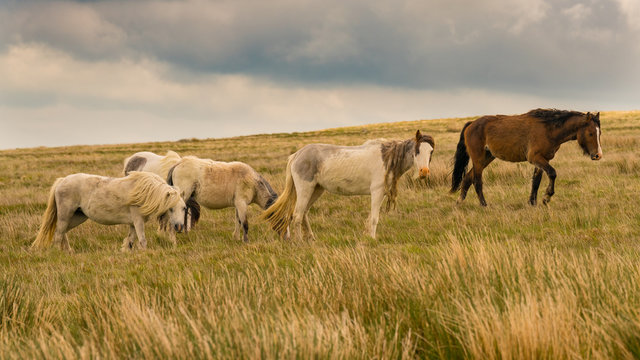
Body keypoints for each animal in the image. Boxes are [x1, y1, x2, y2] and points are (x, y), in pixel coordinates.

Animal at [31, 172, 186, 252]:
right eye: (171, 208)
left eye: (184, 208)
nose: (179, 227)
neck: (146, 192)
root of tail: (62, 180)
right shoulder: (138, 221)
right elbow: (142, 240)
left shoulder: (133, 223)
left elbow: (130, 240)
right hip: (65, 215)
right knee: (58, 234)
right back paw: (59, 252)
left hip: (77, 217)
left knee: (62, 232)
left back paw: (69, 251)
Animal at [260, 131, 436, 240]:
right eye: (417, 150)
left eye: (431, 151)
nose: (424, 172)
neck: (387, 158)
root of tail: (297, 154)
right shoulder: (377, 192)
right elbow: (374, 218)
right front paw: (372, 239)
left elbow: (371, 218)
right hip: (305, 190)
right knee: (297, 215)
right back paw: (300, 242)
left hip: (316, 190)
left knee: (303, 214)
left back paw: (311, 239)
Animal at [448, 108, 604, 207]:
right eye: (590, 133)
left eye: (599, 133)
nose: (598, 155)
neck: (549, 129)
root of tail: (471, 124)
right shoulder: (535, 158)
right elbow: (552, 173)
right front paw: (546, 197)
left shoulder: (542, 160)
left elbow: (536, 181)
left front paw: (532, 202)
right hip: (478, 159)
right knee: (477, 181)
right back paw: (483, 205)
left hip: (487, 158)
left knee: (467, 179)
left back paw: (459, 202)